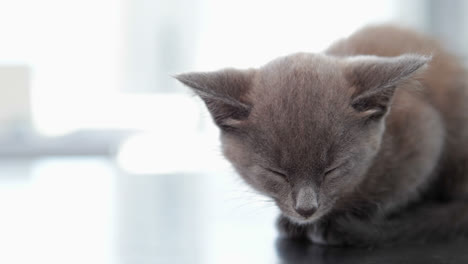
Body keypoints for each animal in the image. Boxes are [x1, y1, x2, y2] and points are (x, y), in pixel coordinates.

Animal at [175, 24, 468, 245]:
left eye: (333, 169)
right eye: (275, 173)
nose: (306, 209)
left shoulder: (424, 133)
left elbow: (395, 194)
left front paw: (337, 222)